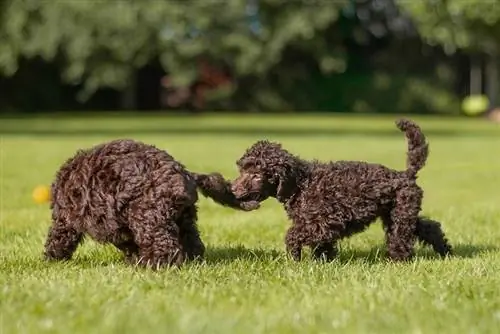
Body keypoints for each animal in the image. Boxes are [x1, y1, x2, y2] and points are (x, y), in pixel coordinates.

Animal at [44, 139, 258, 268]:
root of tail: (185, 173)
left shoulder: (65, 218)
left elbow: (58, 238)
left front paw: (51, 260)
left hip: (149, 215)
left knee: (165, 246)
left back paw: (153, 265)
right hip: (184, 217)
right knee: (193, 243)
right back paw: (190, 262)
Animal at [230, 118, 454, 262]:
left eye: (257, 175)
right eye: (242, 170)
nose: (232, 189)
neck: (300, 184)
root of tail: (406, 174)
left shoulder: (320, 223)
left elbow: (292, 235)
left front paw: (295, 258)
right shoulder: (322, 226)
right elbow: (322, 246)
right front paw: (323, 263)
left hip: (400, 216)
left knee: (402, 238)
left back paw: (399, 260)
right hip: (397, 213)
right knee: (430, 227)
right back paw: (445, 252)